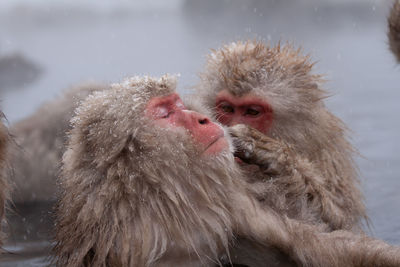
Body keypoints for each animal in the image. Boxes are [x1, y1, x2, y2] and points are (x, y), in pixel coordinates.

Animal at [195, 40, 368, 232]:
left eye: (252, 112)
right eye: (227, 109)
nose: (229, 126)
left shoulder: (328, 154)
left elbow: (340, 222)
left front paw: (274, 156)